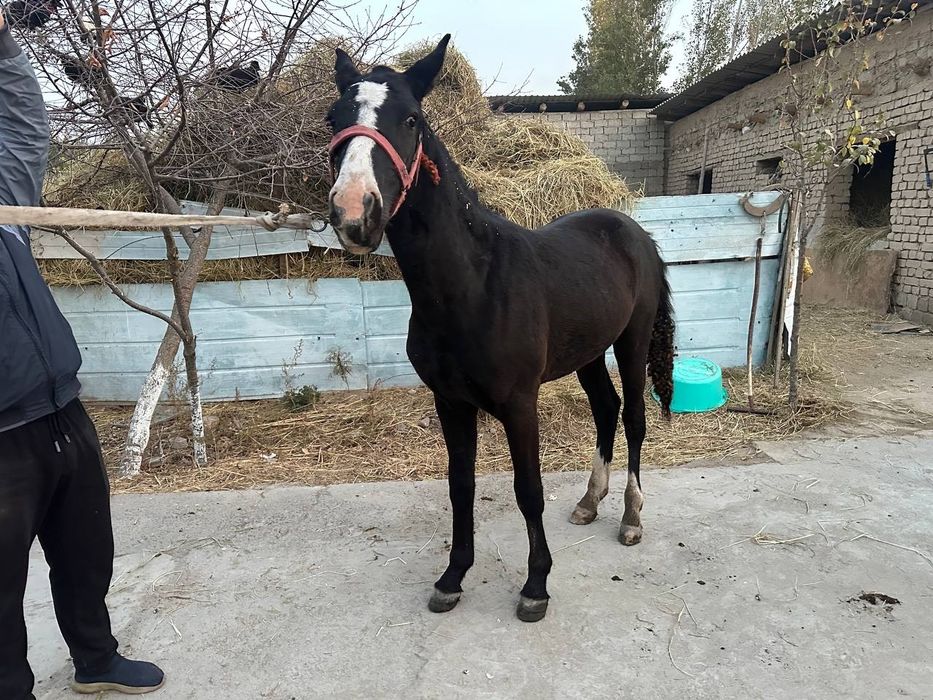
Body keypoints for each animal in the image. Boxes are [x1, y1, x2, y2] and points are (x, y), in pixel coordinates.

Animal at [325, 35, 675, 622]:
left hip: (630, 343)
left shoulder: (519, 403)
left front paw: (536, 586)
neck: (472, 286)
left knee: (633, 419)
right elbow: (460, 486)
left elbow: (528, 489)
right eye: (333, 119)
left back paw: (631, 517)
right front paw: (453, 577)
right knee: (606, 409)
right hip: (587, 354)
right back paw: (589, 501)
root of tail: (635, 232)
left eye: (412, 119)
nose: (355, 213)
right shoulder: (450, 402)